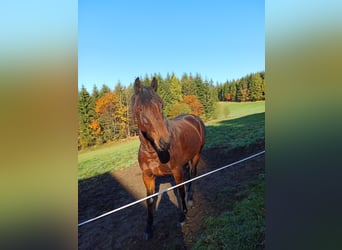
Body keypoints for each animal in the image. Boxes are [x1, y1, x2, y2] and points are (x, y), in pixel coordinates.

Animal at [131, 77, 206, 239]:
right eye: (140, 109)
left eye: (161, 104)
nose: (165, 141)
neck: (154, 152)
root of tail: (193, 118)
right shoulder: (147, 176)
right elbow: (149, 200)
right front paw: (148, 227)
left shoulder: (177, 171)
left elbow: (181, 191)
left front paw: (183, 216)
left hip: (196, 155)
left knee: (192, 175)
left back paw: (190, 199)